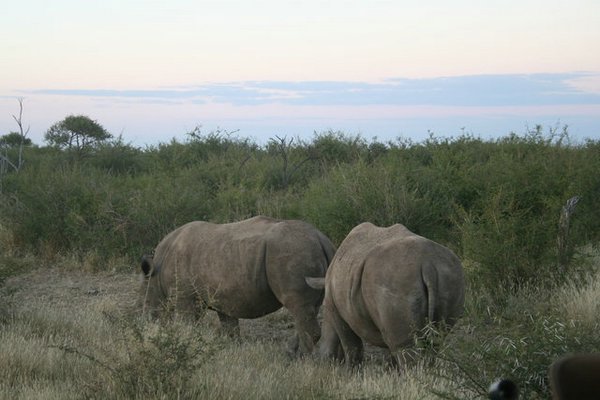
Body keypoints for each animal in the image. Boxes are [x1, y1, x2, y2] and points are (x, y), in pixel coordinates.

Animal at [141, 217, 338, 354]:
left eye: (146, 305)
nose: (147, 324)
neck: (157, 270)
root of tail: (322, 239)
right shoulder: (223, 298)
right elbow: (230, 328)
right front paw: (231, 349)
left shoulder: (185, 297)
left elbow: (186, 324)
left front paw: (183, 340)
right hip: (301, 251)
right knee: (306, 309)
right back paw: (290, 353)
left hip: (293, 251)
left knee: (298, 306)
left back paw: (304, 360)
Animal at [308, 222, 466, 366]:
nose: (322, 361)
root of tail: (428, 265)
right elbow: (388, 353)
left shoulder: (337, 310)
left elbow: (352, 347)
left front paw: (351, 371)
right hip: (450, 275)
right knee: (435, 341)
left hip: (396, 279)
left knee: (405, 347)